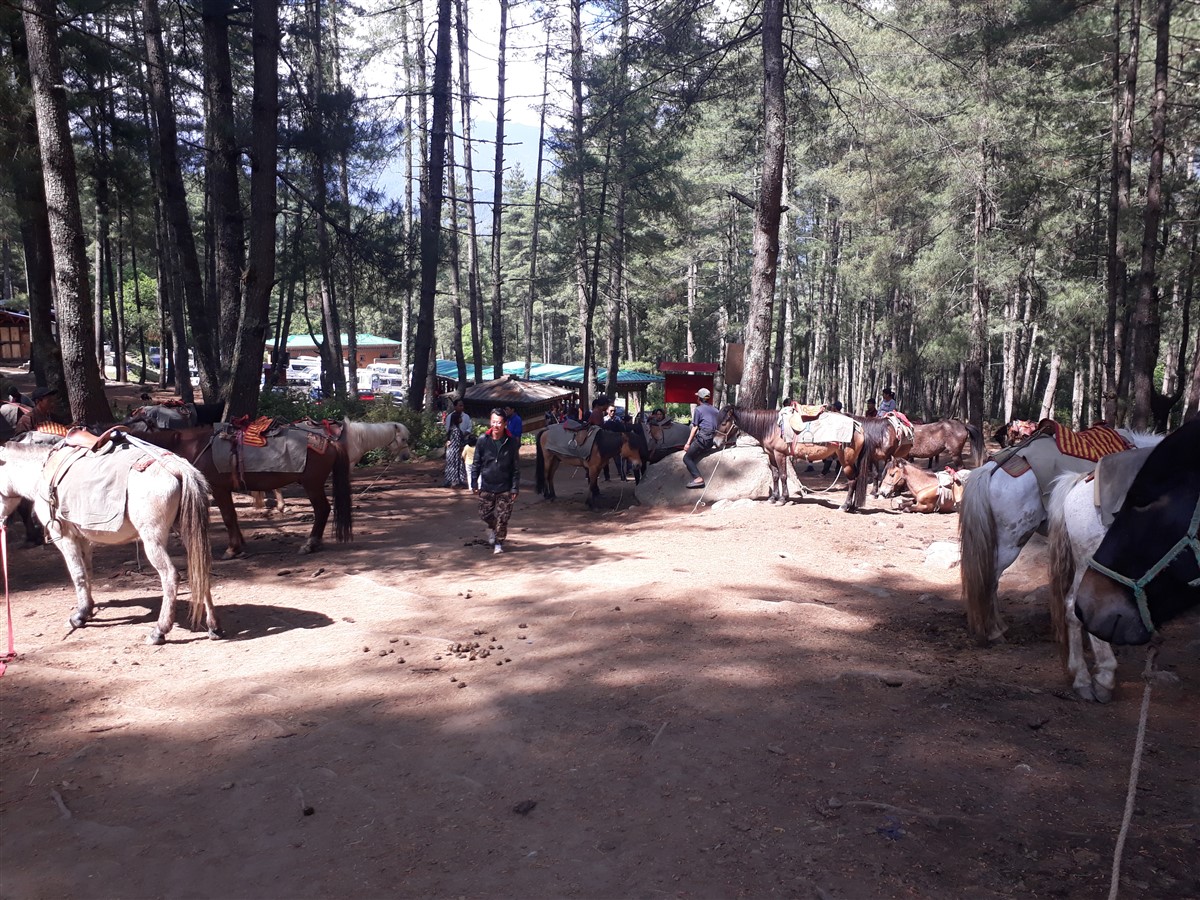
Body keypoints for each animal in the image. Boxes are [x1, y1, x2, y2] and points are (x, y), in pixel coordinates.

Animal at [0, 436, 220, 648]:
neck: (41, 474)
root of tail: (178, 468)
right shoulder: (83, 539)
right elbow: (87, 572)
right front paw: (88, 609)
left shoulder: (64, 537)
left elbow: (77, 574)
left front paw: (79, 617)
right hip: (189, 531)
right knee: (201, 571)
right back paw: (213, 627)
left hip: (153, 539)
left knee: (170, 576)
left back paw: (159, 631)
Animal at [136, 424, 352, 556]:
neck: (195, 446)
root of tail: (329, 441)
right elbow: (232, 516)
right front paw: (239, 545)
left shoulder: (219, 489)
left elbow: (228, 517)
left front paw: (232, 549)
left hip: (312, 485)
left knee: (322, 509)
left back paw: (310, 544)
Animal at [253, 415, 412, 513]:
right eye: (403, 439)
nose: (406, 456)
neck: (356, 437)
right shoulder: (348, 464)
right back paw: (281, 506)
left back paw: (280, 506)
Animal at [715, 408, 878, 513]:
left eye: (724, 423)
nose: (716, 442)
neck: (772, 426)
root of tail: (859, 428)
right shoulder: (771, 454)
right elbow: (775, 476)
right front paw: (773, 498)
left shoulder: (780, 454)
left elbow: (783, 475)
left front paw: (782, 499)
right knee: (856, 479)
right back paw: (853, 506)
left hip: (846, 461)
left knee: (852, 481)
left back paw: (845, 506)